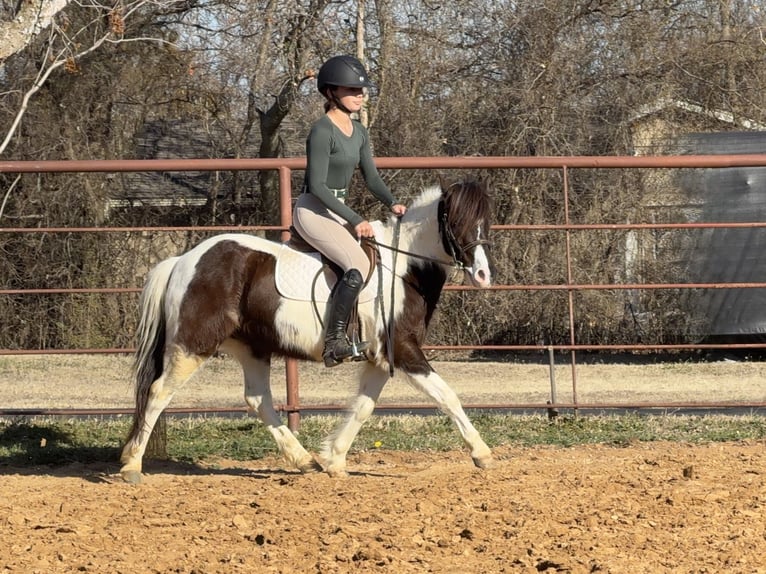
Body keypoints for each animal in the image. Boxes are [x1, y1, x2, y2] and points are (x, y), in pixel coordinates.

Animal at [120, 177, 496, 482]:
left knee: (258, 400)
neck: (404, 268)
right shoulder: (403, 350)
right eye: (456, 221)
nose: (482, 275)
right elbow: (446, 396)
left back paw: (304, 461)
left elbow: (363, 407)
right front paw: (482, 453)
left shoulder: (380, 357)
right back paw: (132, 466)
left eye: (485, 222)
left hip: (252, 347)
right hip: (193, 345)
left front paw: (333, 459)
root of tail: (183, 261)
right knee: (158, 393)